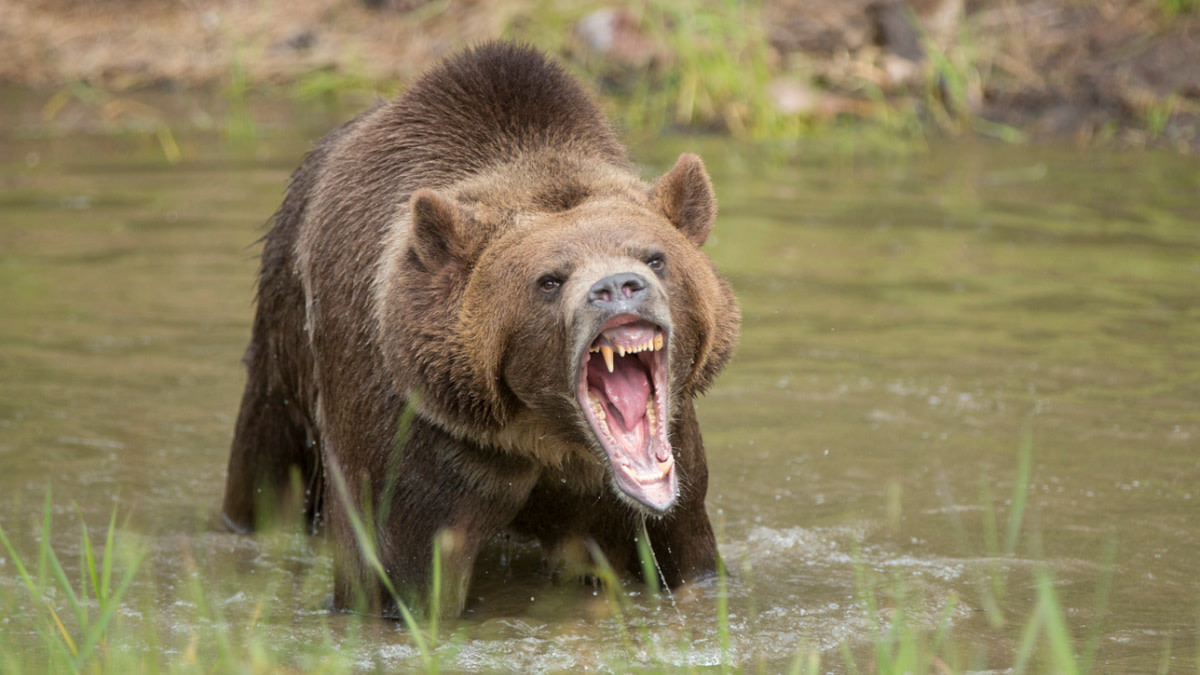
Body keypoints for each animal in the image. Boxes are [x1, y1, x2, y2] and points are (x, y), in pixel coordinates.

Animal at [220, 42, 739, 618]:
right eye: (549, 280)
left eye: (655, 257)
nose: (618, 286)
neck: (546, 434)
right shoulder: (422, 441)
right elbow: (397, 576)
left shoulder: (666, 470)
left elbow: (685, 553)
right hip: (286, 344)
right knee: (268, 466)